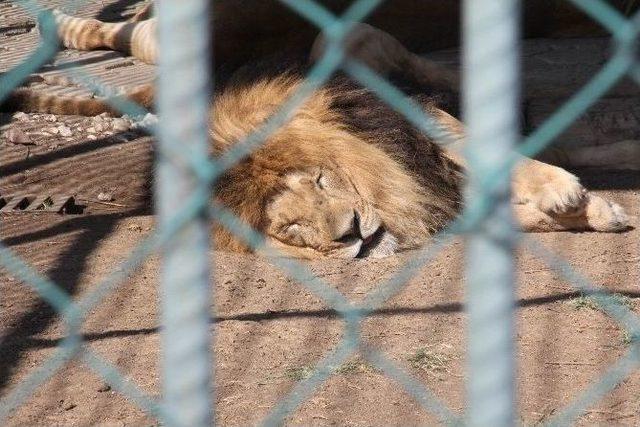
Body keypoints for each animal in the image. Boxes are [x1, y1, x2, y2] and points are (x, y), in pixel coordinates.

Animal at [0, 8, 632, 260]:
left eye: (324, 180)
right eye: (292, 231)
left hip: (345, 39)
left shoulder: (397, 118)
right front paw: (587, 210)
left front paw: (571, 196)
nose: (351, 231)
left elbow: (486, 149)